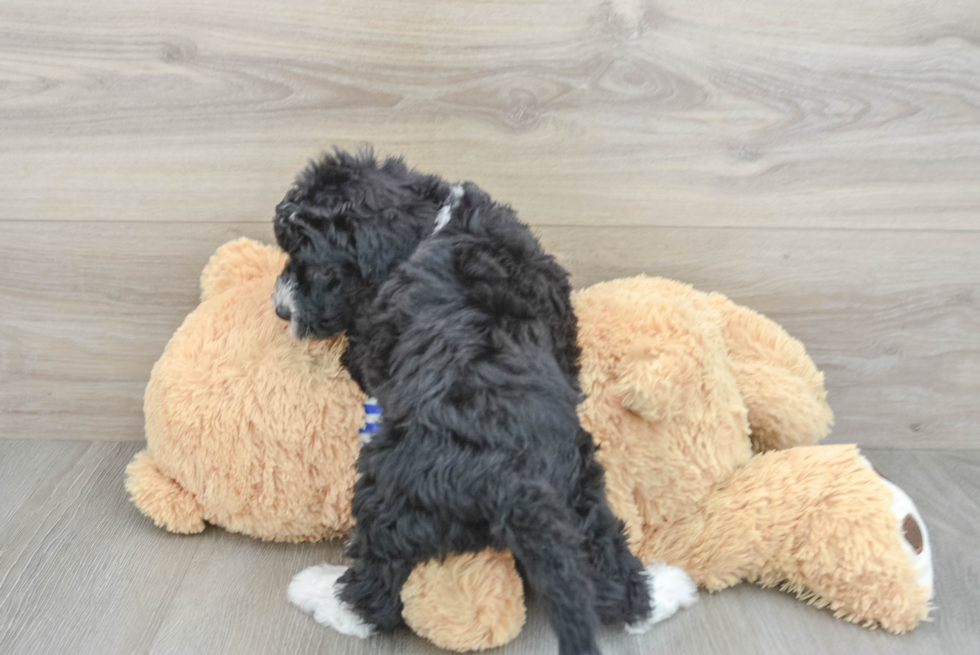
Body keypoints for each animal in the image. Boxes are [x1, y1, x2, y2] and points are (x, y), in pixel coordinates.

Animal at [276, 151, 696, 652]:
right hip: (580, 493)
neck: (434, 222)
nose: (280, 309)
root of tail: (514, 482)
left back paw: (318, 592)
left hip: (391, 492)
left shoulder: (371, 341)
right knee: (607, 569)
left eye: (319, 267)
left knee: (376, 587)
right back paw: (667, 588)